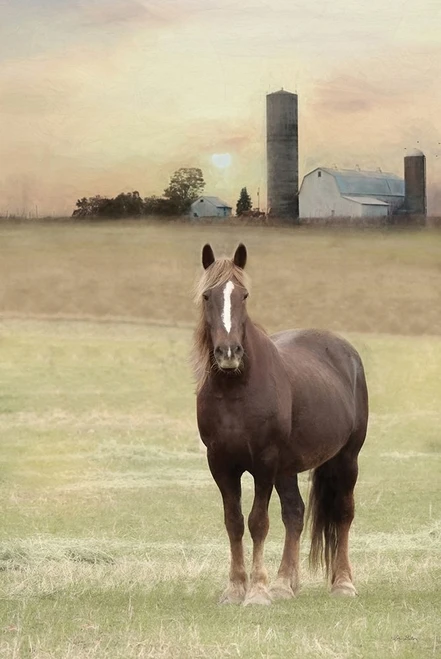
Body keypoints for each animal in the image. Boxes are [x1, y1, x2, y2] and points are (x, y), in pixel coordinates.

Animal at [192, 243, 369, 606]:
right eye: (207, 295)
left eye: (244, 295)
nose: (228, 352)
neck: (236, 390)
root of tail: (345, 351)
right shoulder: (221, 464)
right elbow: (234, 522)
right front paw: (235, 589)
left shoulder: (264, 463)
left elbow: (258, 522)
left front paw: (257, 592)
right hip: (287, 468)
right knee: (295, 514)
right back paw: (285, 583)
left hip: (346, 458)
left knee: (343, 513)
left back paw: (343, 583)